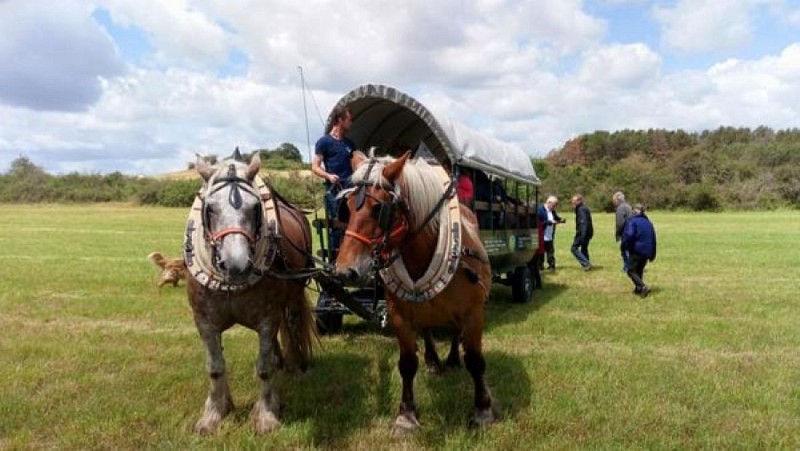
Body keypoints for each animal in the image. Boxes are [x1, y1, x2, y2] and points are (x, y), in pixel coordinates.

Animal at [184, 152, 316, 434]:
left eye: (255, 207)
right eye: (210, 208)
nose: (237, 265)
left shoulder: (267, 318)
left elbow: (264, 368)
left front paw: (266, 414)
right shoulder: (204, 321)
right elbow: (215, 367)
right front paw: (215, 412)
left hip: (293, 296)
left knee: (292, 325)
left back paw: (295, 364)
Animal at [332, 152, 494, 430]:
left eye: (379, 209)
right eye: (348, 207)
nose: (345, 271)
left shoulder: (473, 313)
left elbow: (475, 360)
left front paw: (482, 410)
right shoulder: (400, 317)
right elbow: (407, 364)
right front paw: (406, 415)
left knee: (454, 331)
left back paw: (452, 360)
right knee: (428, 329)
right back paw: (433, 361)